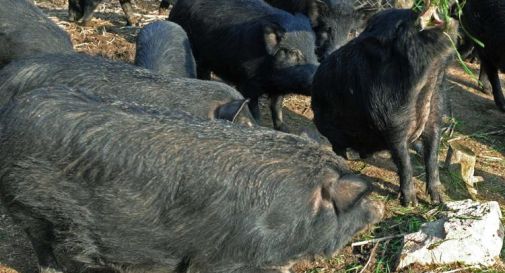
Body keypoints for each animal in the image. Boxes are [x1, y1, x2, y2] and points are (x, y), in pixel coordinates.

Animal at [0, 85, 382, 272]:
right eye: (359, 200)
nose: (379, 209)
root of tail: (11, 115)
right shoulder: (222, 257)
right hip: (28, 206)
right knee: (44, 246)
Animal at [169, 0, 318, 131]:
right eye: (293, 52)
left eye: (314, 50)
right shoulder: (248, 82)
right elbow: (255, 109)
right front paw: (259, 125)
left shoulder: (279, 87)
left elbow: (277, 107)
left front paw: (285, 129)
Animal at [312, 7, 456, 205]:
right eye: (400, 26)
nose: (418, 8)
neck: (427, 81)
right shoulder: (391, 122)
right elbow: (404, 161)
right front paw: (410, 203)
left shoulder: (435, 114)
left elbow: (432, 154)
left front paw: (439, 201)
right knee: (337, 145)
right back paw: (348, 157)